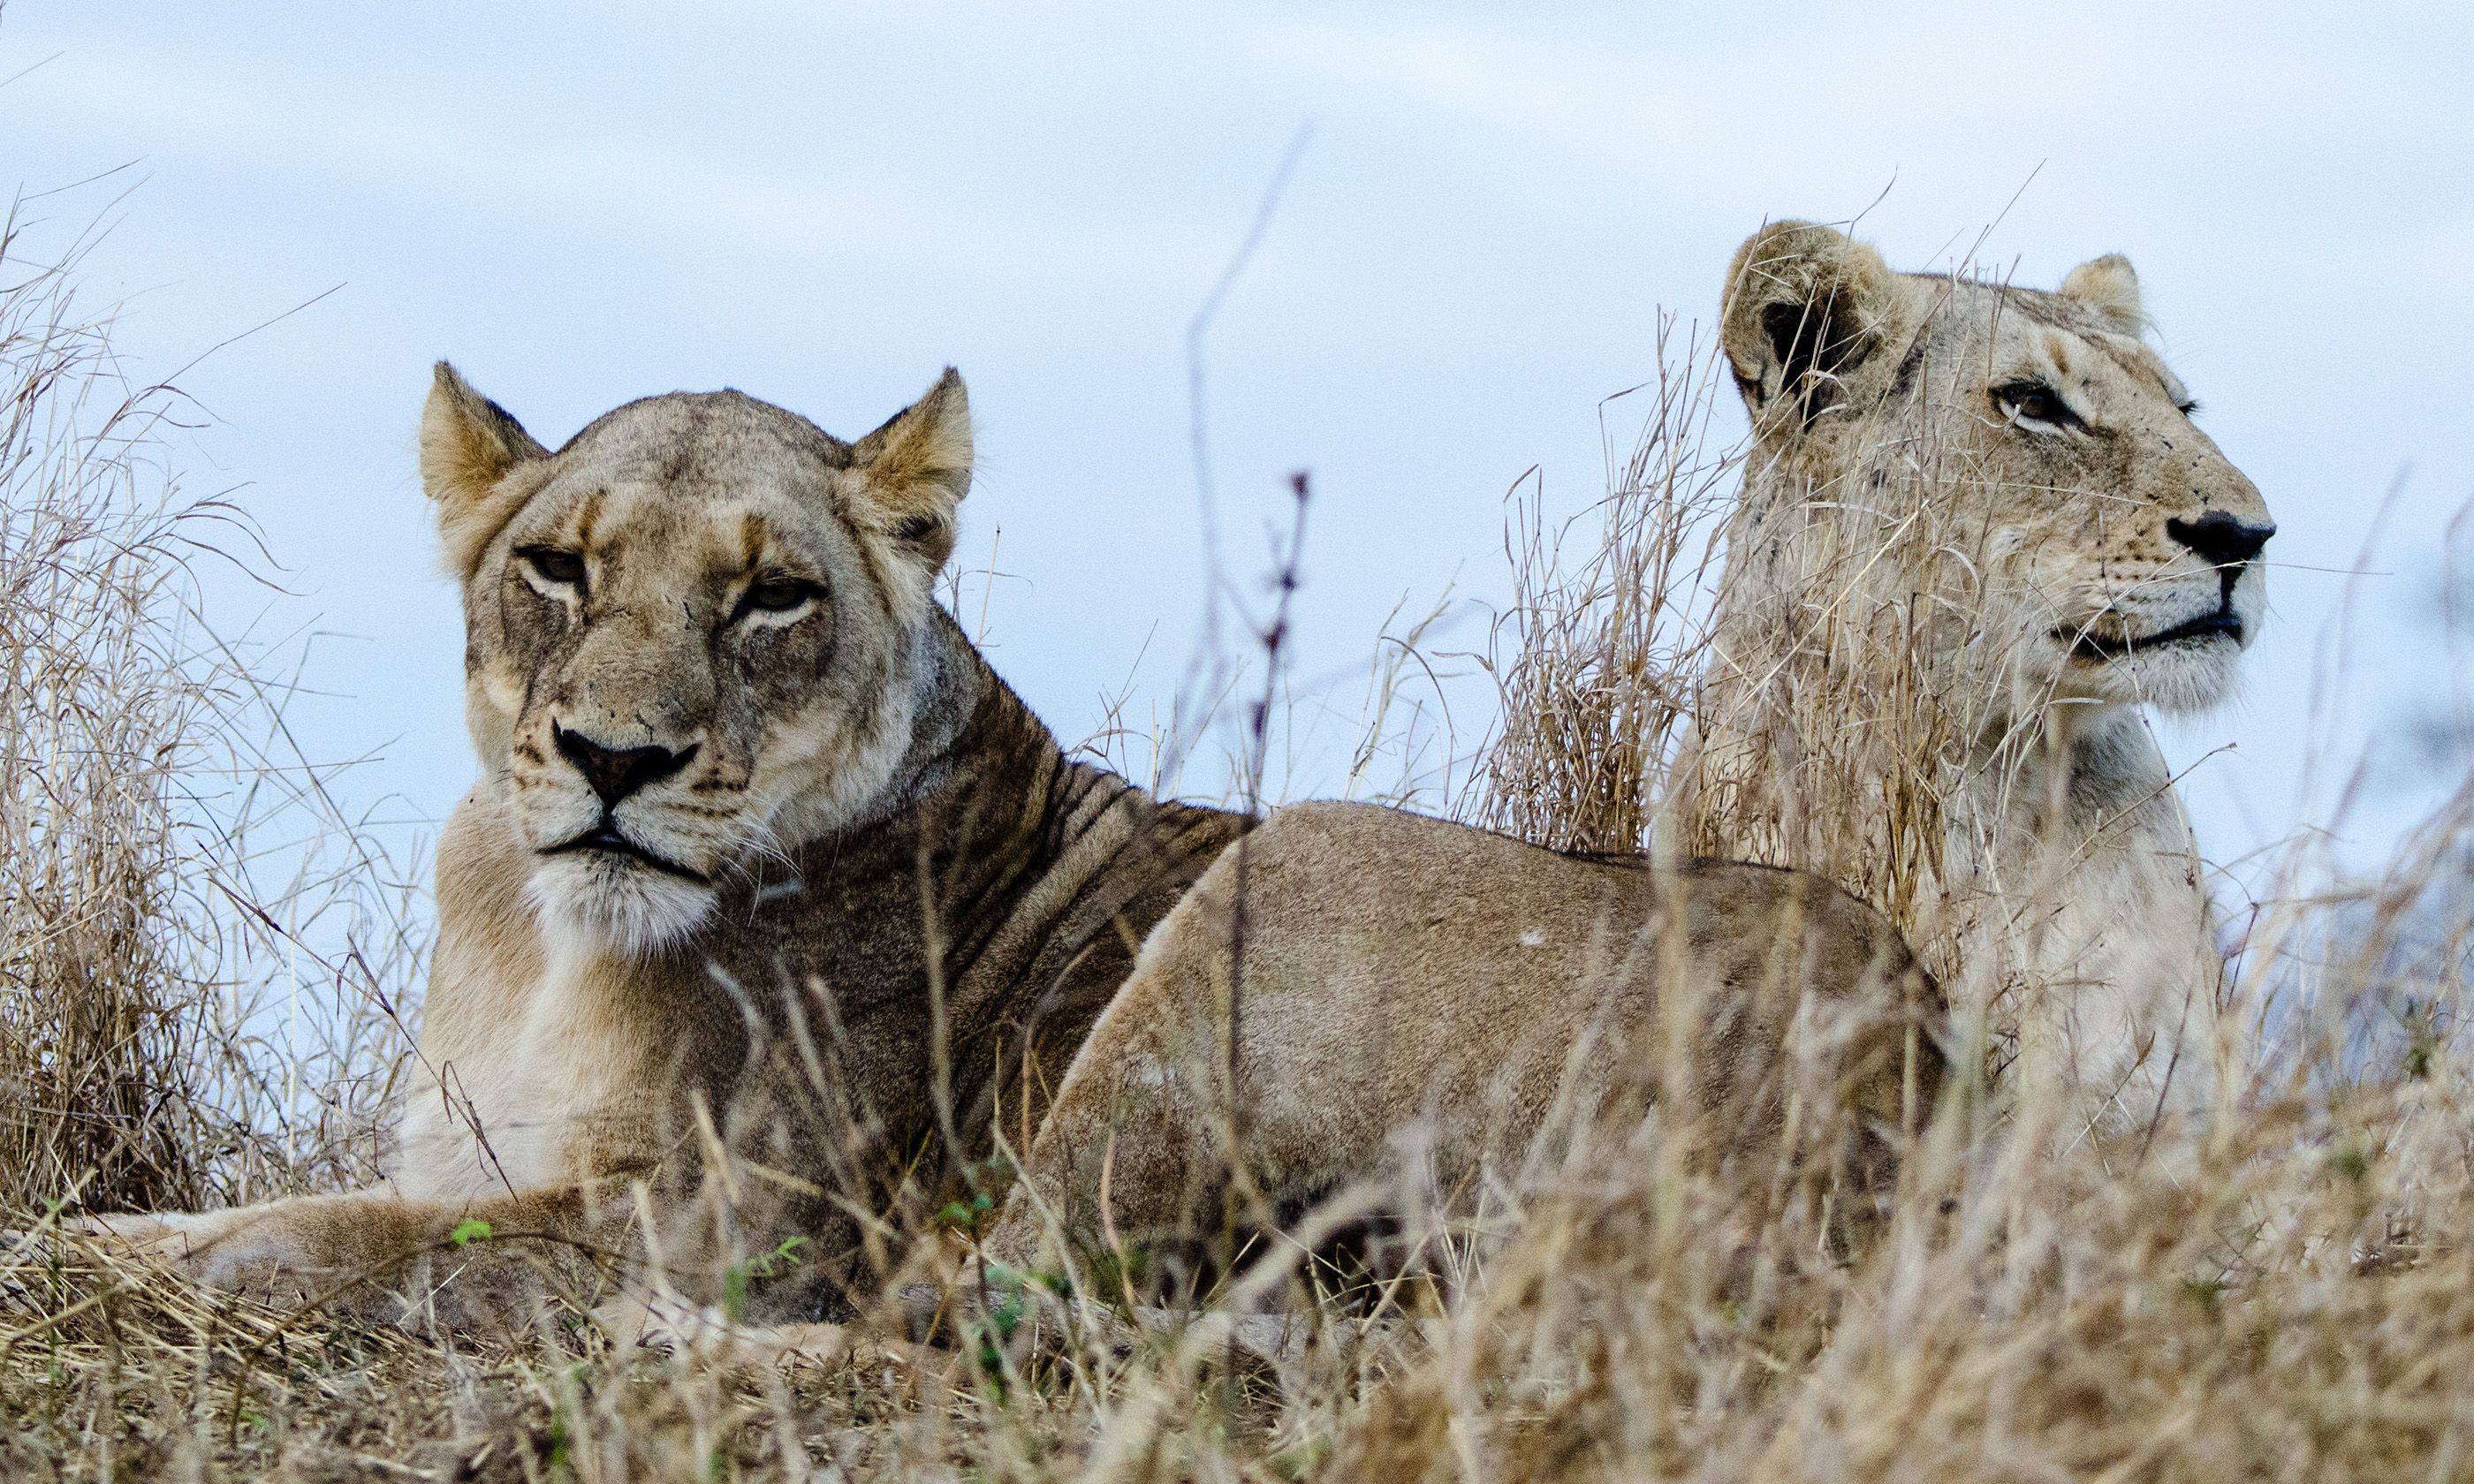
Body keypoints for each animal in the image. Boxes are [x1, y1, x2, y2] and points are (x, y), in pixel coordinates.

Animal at [74, 362, 1938, 1343]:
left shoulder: (719, 1210)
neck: (547, 936)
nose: (616, 761)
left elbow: (348, 1238)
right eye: (557, 567)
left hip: (1266, 904)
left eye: (773, 596)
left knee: (966, 1316)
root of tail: (1925, 1071)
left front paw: (121, 1256)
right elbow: (339, 1206)